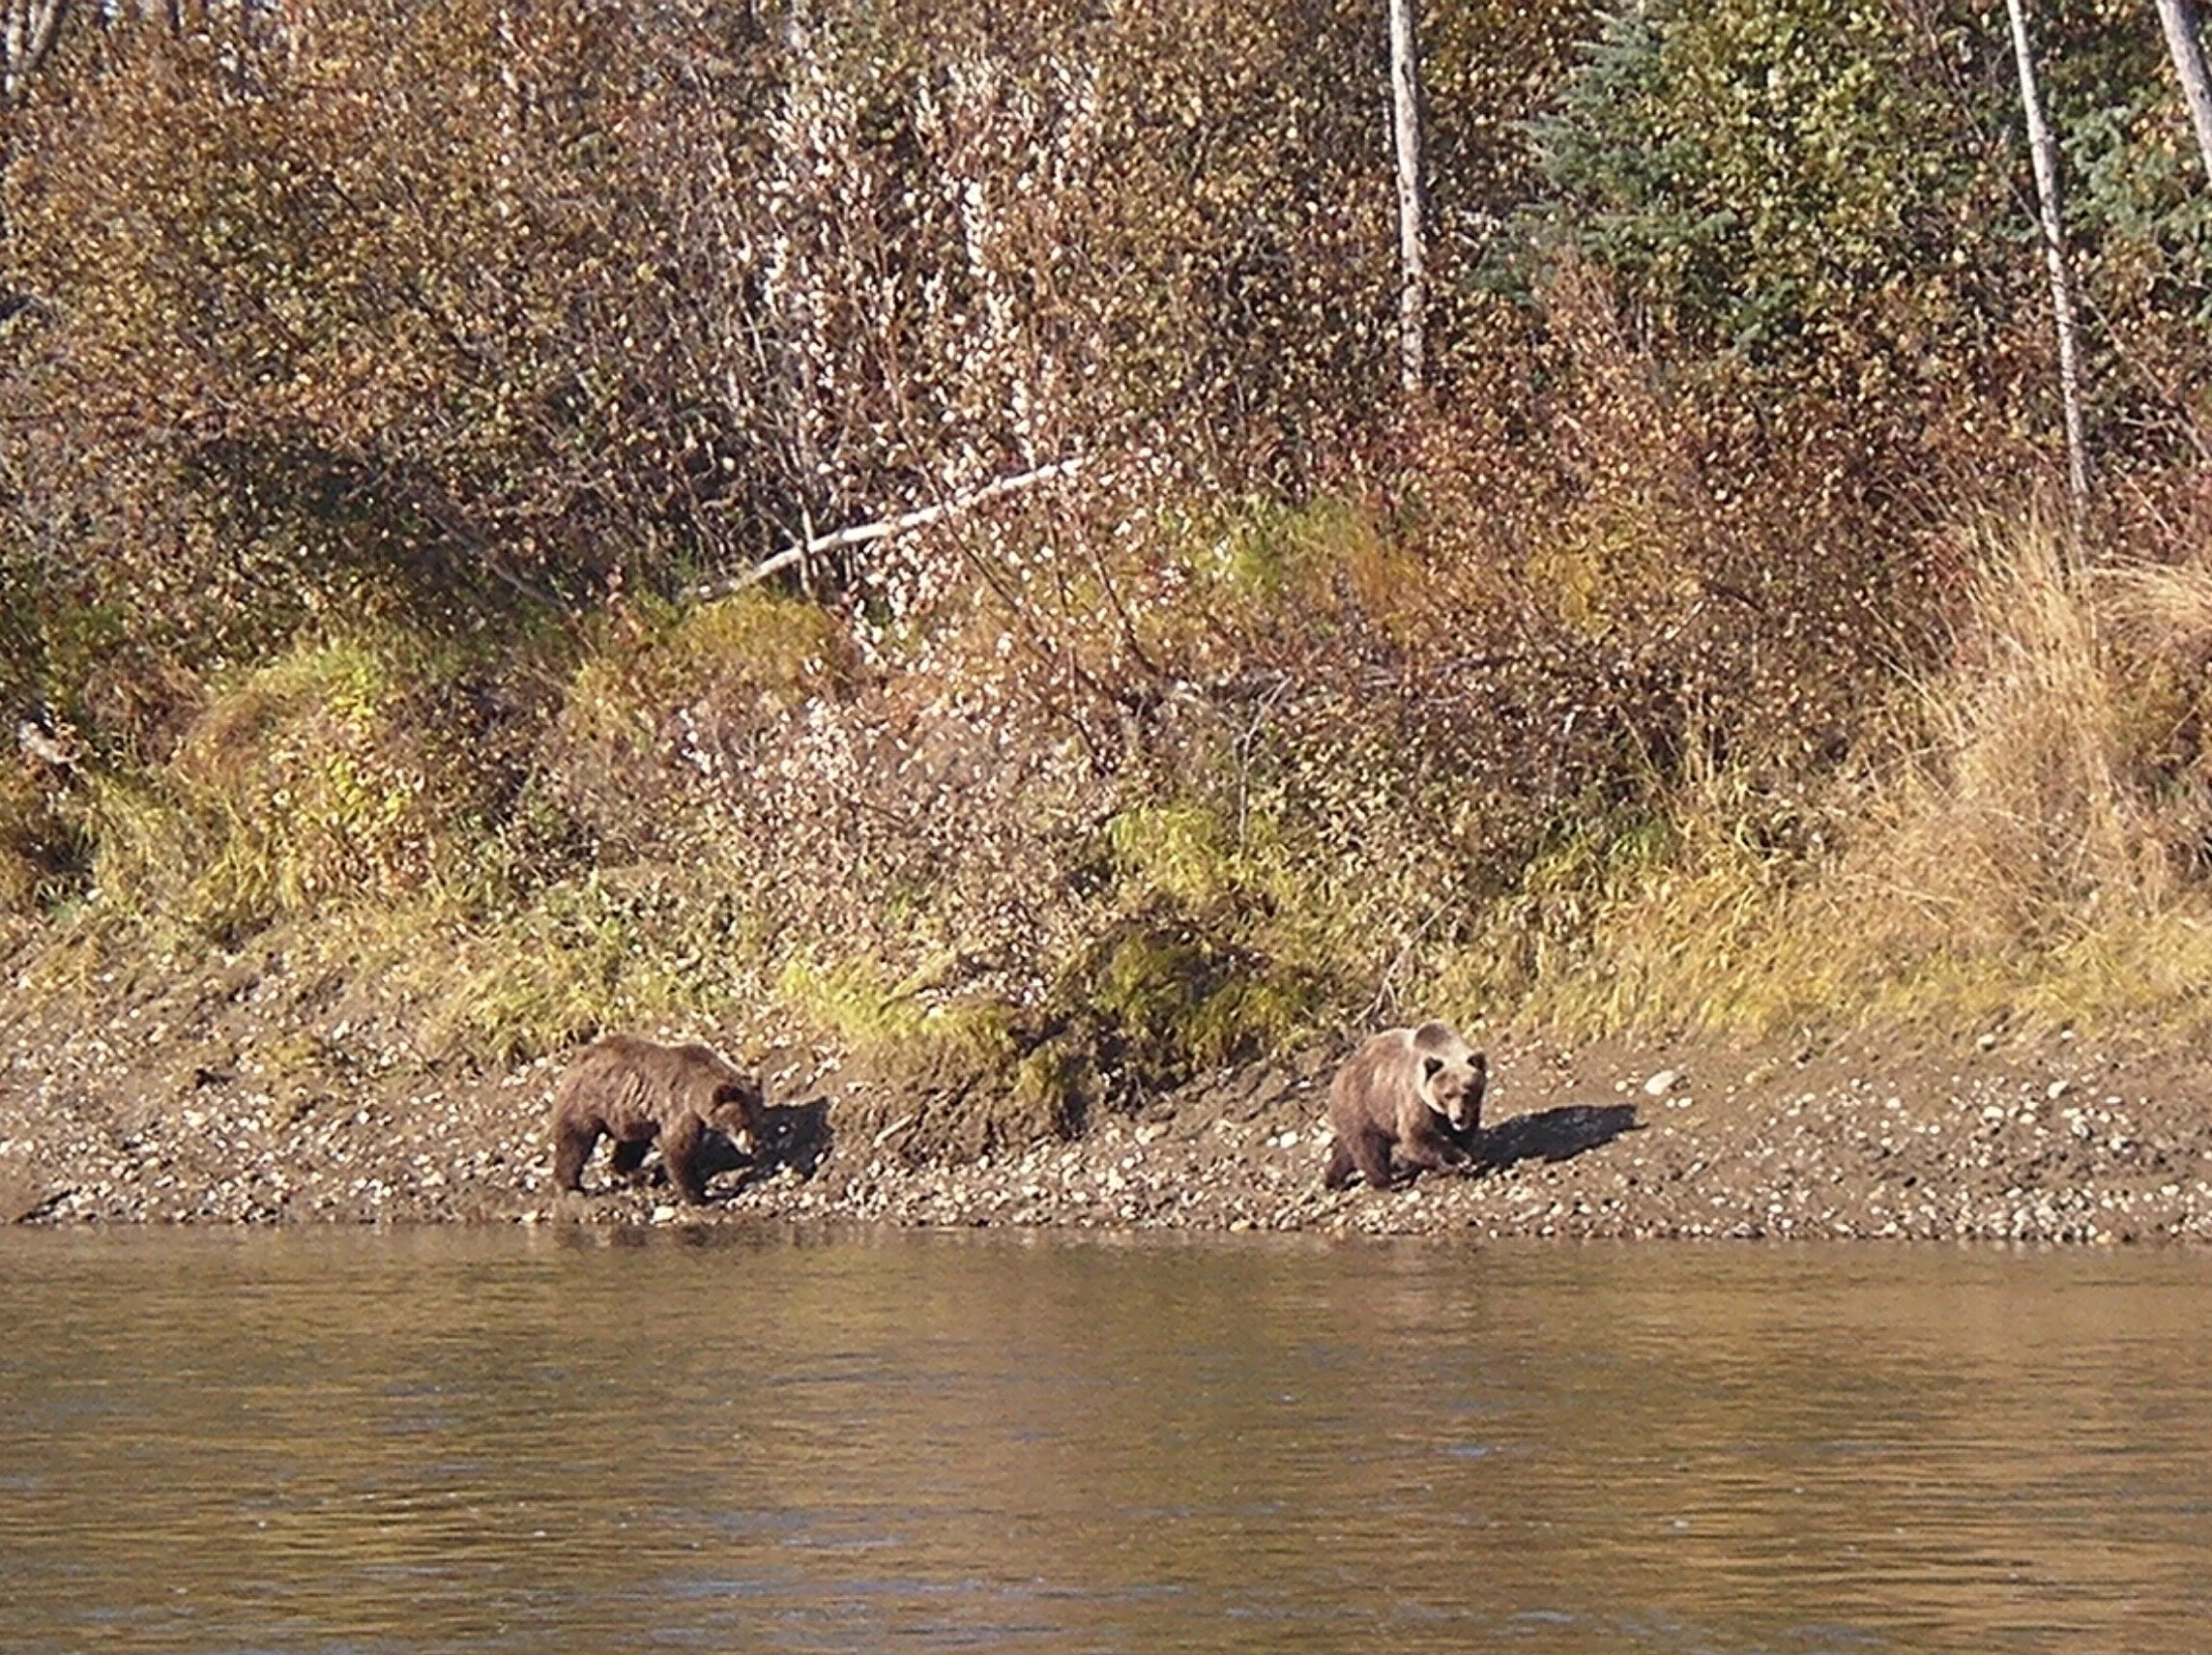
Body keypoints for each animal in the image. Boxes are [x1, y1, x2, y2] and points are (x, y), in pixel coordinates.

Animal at [546, 1035, 770, 1204]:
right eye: (742, 1123)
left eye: (757, 1120)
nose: (753, 1146)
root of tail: (576, 1060)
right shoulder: (679, 1108)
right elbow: (678, 1150)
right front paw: (699, 1195)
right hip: (587, 1102)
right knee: (574, 1142)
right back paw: (570, 1186)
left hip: (631, 1113)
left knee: (631, 1143)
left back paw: (633, 1172)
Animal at [1318, 1022, 1495, 1185]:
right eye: (1447, 1094)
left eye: (1467, 1093)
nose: (1458, 1117)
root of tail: (1336, 1078)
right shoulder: (1415, 1099)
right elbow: (1417, 1135)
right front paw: (1457, 1159)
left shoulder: (1465, 1110)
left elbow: (1463, 1132)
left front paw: (1464, 1157)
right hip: (1362, 1105)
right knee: (1368, 1147)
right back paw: (1386, 1181)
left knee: (1346, 1149)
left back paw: (1333, 1178)